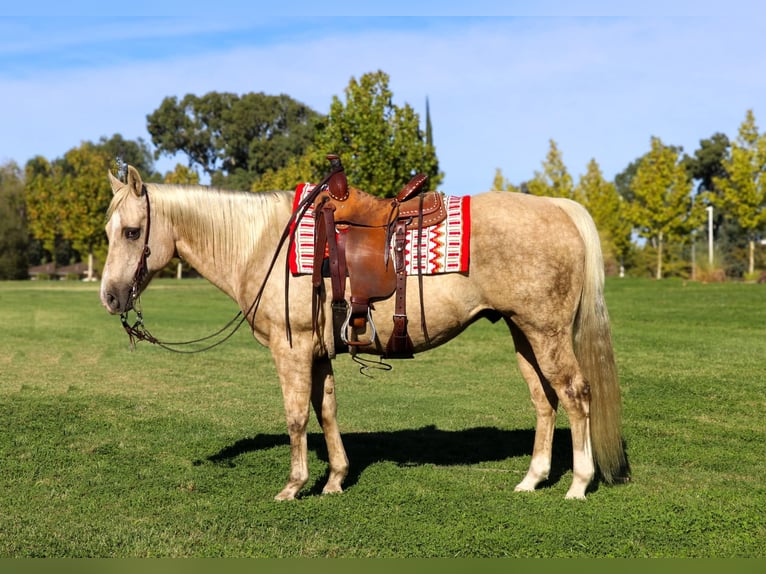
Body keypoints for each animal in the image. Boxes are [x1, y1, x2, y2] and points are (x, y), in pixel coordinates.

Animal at [100, 165, 629, 500]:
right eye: (107, 232)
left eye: (131, 232)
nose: (109, 296)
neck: (264, 244)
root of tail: (559, 208)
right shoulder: (319, 351)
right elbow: (327, 410)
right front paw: (335, 480)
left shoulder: (291, 349)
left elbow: (296, 416)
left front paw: (294, 485)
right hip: (524, 332)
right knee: (545, 400)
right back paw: (532, 479)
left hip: (546, 331)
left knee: (576, 394)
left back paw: (578, 484)